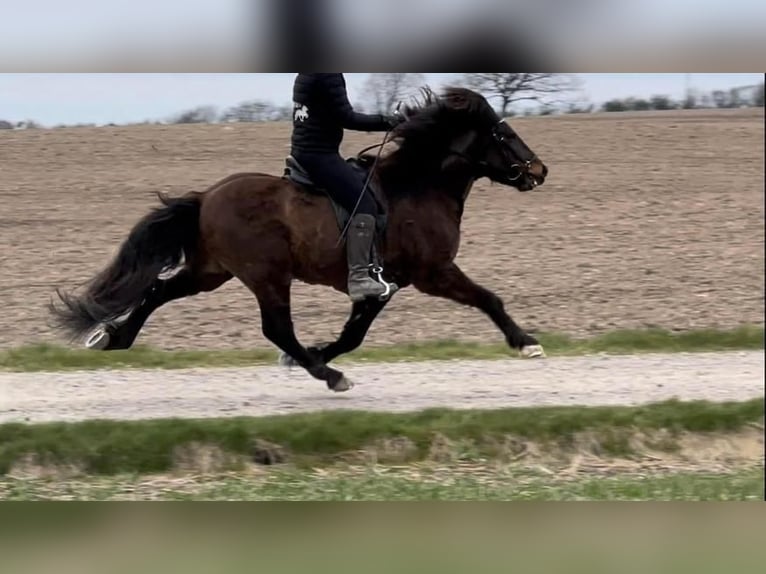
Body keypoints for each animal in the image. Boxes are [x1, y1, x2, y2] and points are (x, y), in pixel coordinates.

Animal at [49, 86, 549, 392]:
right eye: (504, 133)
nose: (540, 170)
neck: (418, 185)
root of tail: (206, 196)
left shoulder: (387, 283)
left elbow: (354, 332)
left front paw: (318, 351)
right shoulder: (434, 273)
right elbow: (488, 299)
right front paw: (527, 341)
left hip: (210, 271)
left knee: (156, 290)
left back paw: (114, 338)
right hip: (267, 275)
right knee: (276, 328)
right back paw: (330, 376)